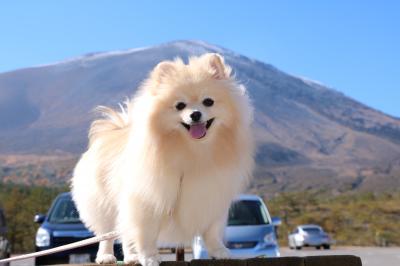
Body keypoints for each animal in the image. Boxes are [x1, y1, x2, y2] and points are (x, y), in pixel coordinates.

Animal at [70, 53, 255, 264]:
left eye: (208, 101)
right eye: (180, 105)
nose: (195, 114)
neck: (194, 150)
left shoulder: (212, 195)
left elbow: (212, 231)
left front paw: (219, 251)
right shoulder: (148, 199)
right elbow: (146, 234)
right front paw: (149, 258)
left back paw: (131, 257)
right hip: (104, 205)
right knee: (106, 233)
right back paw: (107, 256)